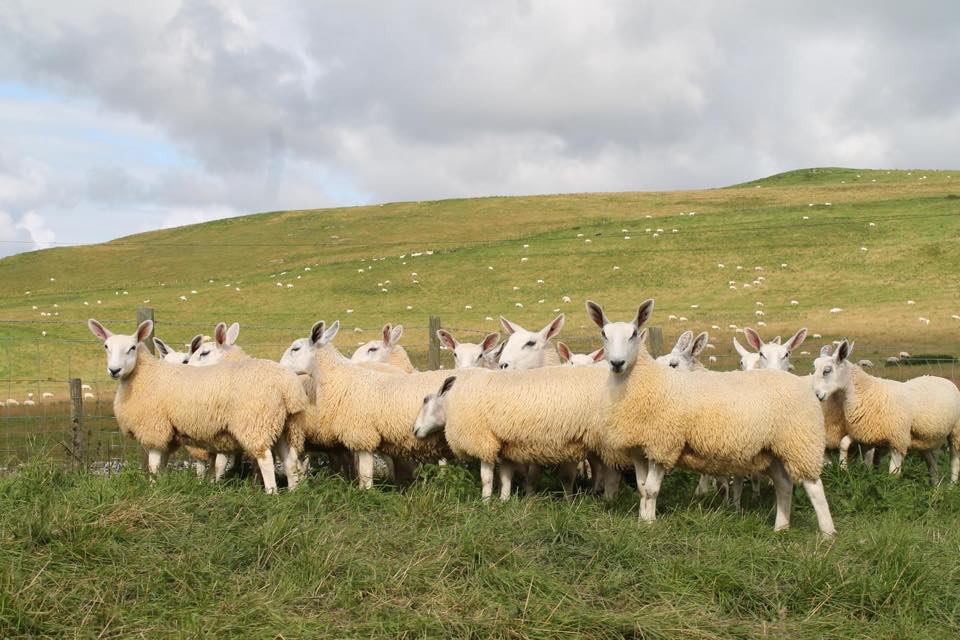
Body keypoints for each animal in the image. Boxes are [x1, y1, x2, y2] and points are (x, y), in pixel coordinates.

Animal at [87, 319, 306, 494]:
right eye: (106, 346)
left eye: (132, 347)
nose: (114, 370)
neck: (142, 375)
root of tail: (287, 385)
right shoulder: (168, 434)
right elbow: (163, 465)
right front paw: (162, 487)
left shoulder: (154, 428)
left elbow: (154, 465)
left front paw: (152, 489)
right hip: (286, 425)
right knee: (290, 460)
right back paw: (293, 492)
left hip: (255, 423)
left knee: (265, 459)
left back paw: (271, 493)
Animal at [586, 299, 835, 534]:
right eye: (604, 334)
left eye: (634, 334)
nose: (617, 363)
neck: (645, 381)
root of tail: (803, 384)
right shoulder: (639, 449)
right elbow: (642, 488)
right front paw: (642, 521)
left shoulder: (664, 444)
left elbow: (651, 490)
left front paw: (649, 524)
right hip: (773, 448)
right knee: (784, 485)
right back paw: (781, 528)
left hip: (800, 441)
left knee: (815, 487)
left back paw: (827, 533)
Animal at [812, 339, 960, 483]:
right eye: (813, 367)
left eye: (827, 370)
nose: (816, 395)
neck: (867, 392)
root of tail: (944, 380)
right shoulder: (865, 434)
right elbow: (845, 444)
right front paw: (844, 470)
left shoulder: (898, 439)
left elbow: (893, 473)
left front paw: (890, 486)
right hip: (924, 438)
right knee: (932, 463)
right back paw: (935, 486)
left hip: (955, 432)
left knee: (954, 460)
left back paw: (951, 485)